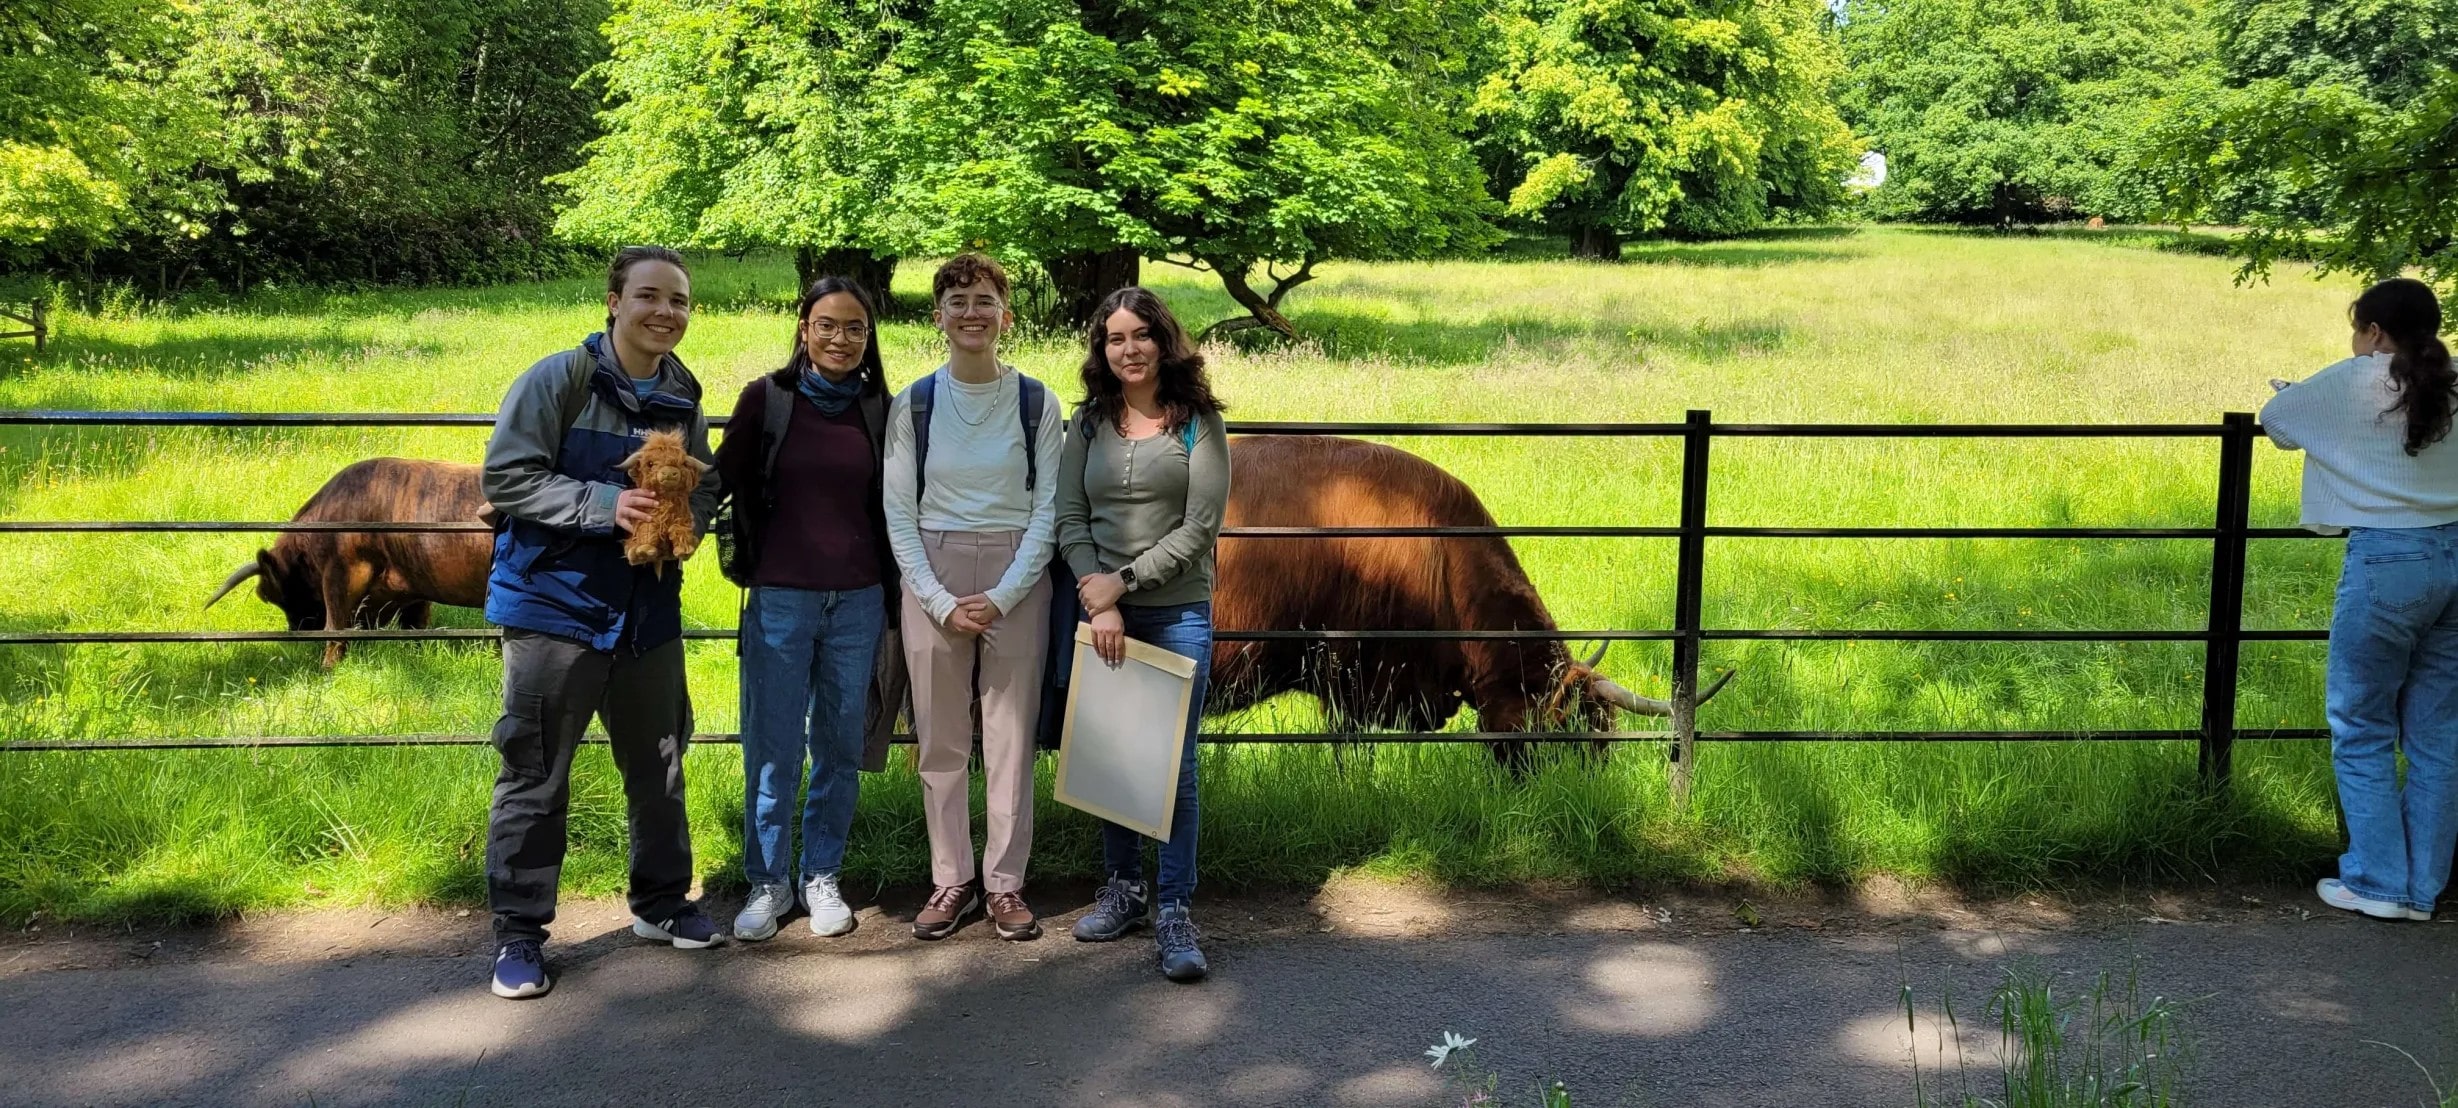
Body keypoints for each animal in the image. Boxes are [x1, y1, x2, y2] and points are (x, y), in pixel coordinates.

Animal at [206, 454, 489, 663]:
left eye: (275, 596)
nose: (297, 629)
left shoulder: (341, 575)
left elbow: (335, 627)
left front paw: (327, 668)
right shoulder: (416, 590)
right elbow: (415, 627)